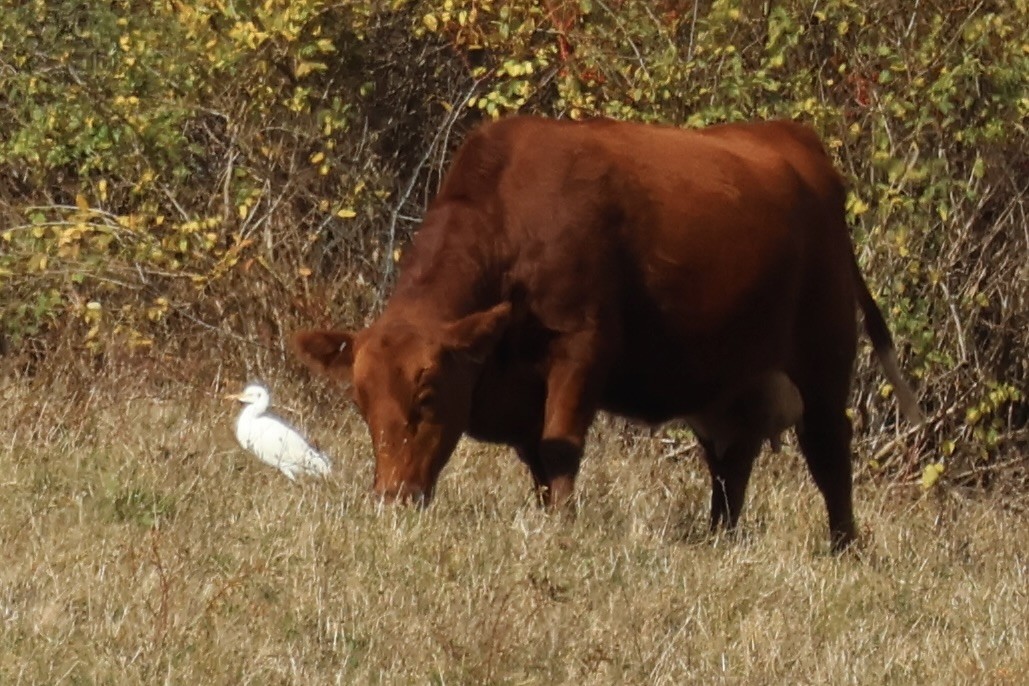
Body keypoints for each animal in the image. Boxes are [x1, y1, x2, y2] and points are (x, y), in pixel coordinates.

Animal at [293, 115, 922, 550]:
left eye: (426, 394)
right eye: (360, 401)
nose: (391, 499)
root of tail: (793, 139)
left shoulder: (582, 348)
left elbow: (559, 445)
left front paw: (563, 527)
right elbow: (537, 460)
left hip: (822, 356)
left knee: (828, 451)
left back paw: (843, 547)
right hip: (732, 382)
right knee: (731, 462)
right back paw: (718, 540)